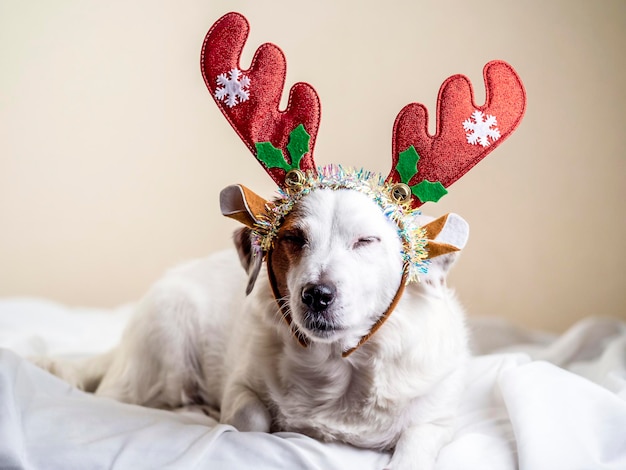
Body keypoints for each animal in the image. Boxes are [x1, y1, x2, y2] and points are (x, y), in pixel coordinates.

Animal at [37, 185, 468, 470]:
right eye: (294, 237)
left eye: (365, 241)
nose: (317, 295)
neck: (337, 367)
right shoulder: (240, 385)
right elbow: (253, 421)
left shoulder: (438, 422)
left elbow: (413, 451)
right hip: (167, 339)